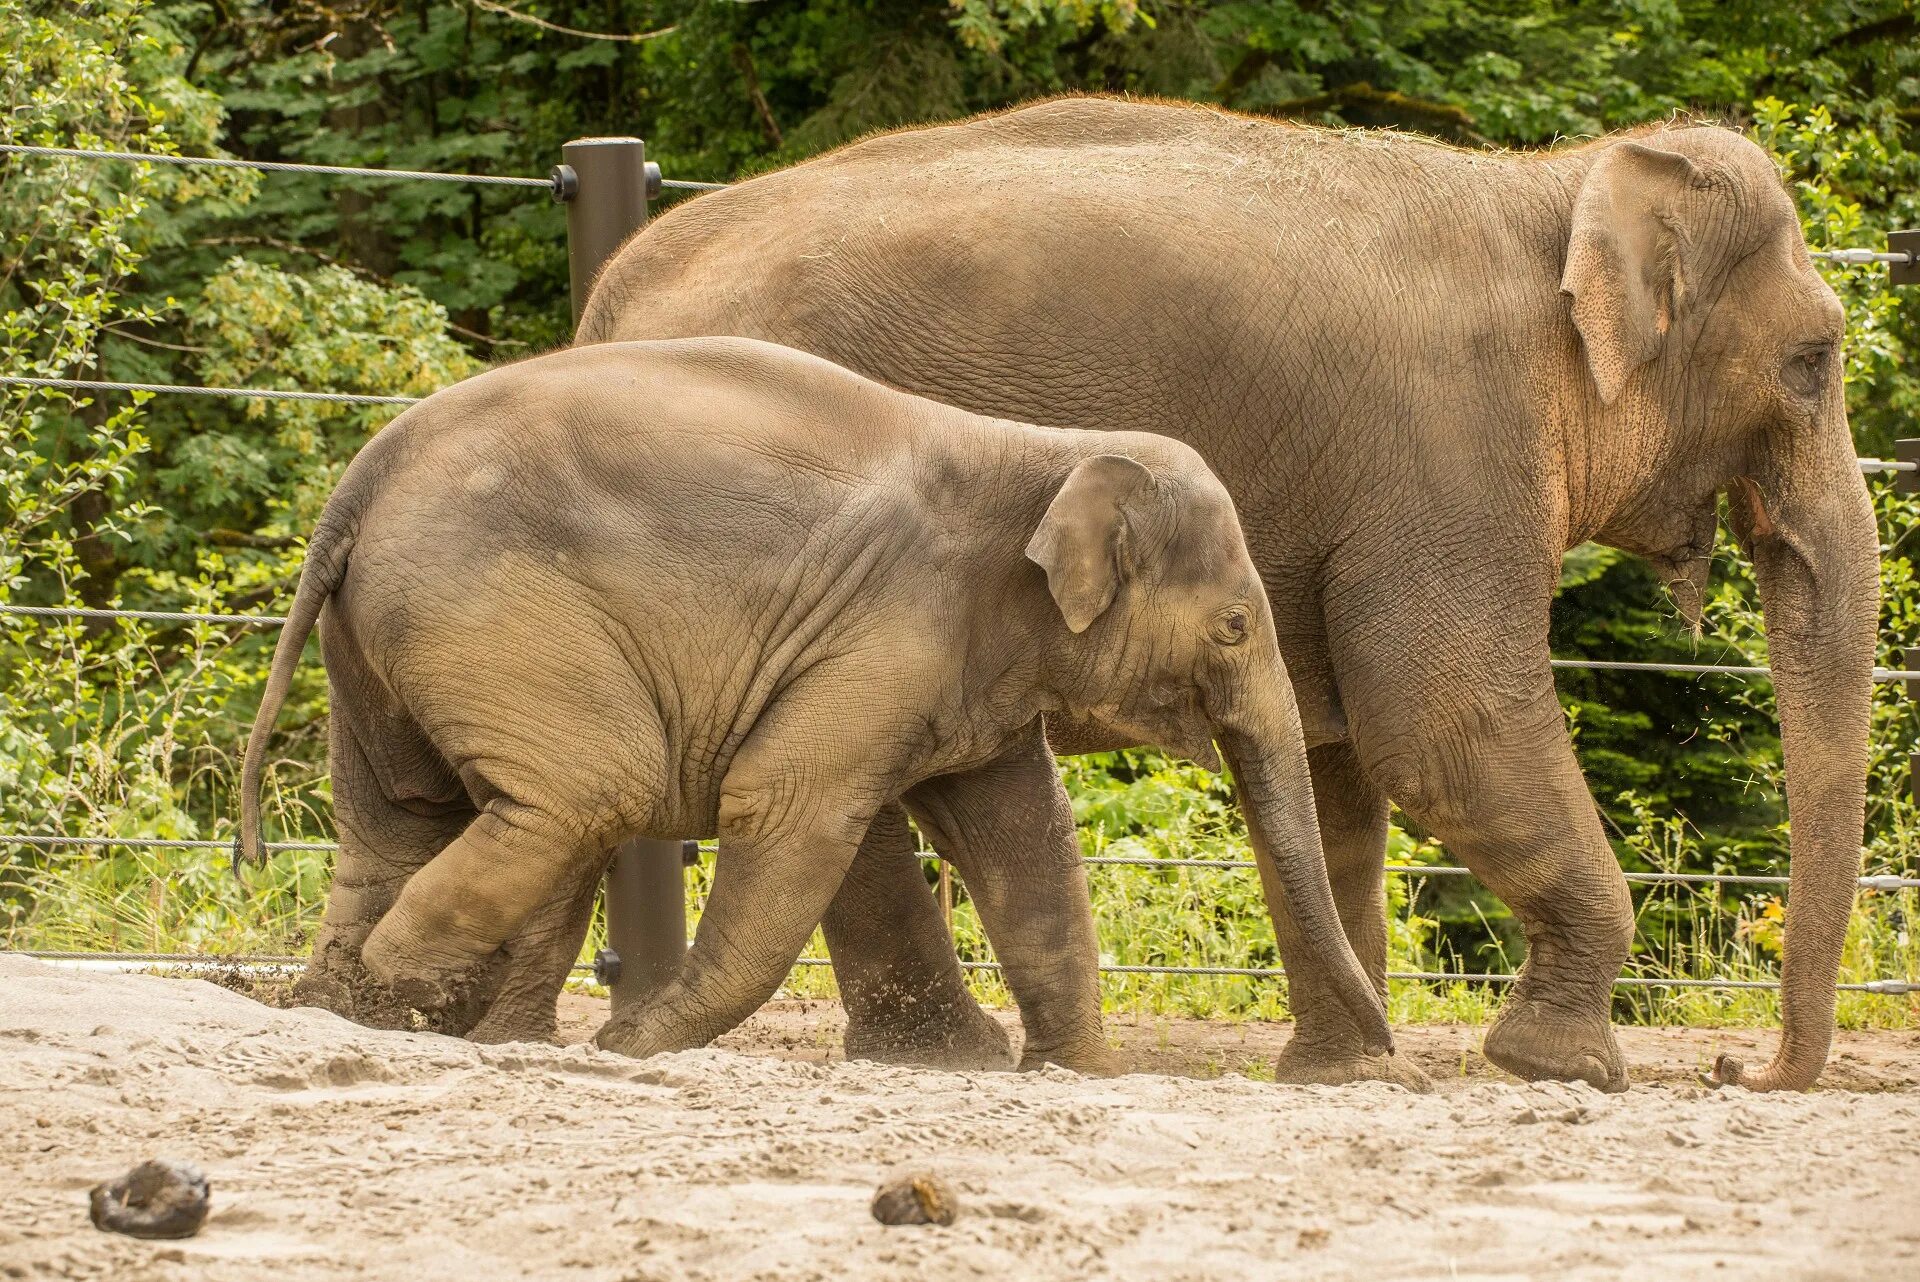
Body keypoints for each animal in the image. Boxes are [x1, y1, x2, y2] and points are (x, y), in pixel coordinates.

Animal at [240, 335, 1390, 1067]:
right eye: (1234, 626)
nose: (1385, 1054)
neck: (1045, 448)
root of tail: (362, 475)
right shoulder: (888, 630)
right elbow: (788, 807)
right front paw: (632, 1046)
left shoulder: (965, 662)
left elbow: (1027, 836)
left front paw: (1076, 1075)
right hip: (489, 610)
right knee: (589, 790)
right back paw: (412, 991)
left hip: (382, 636)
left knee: (407, 815)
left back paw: (360, 1014)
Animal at [572, 97, 1873, 1090]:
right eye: (1815, 362)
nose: (1741, 1070)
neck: (1554, 189)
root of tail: (615, 291)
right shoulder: (1448, 448)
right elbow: (1444, 728)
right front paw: (1565, 1068)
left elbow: (1343, 768)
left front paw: (1345, 1070)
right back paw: (949, 1055)